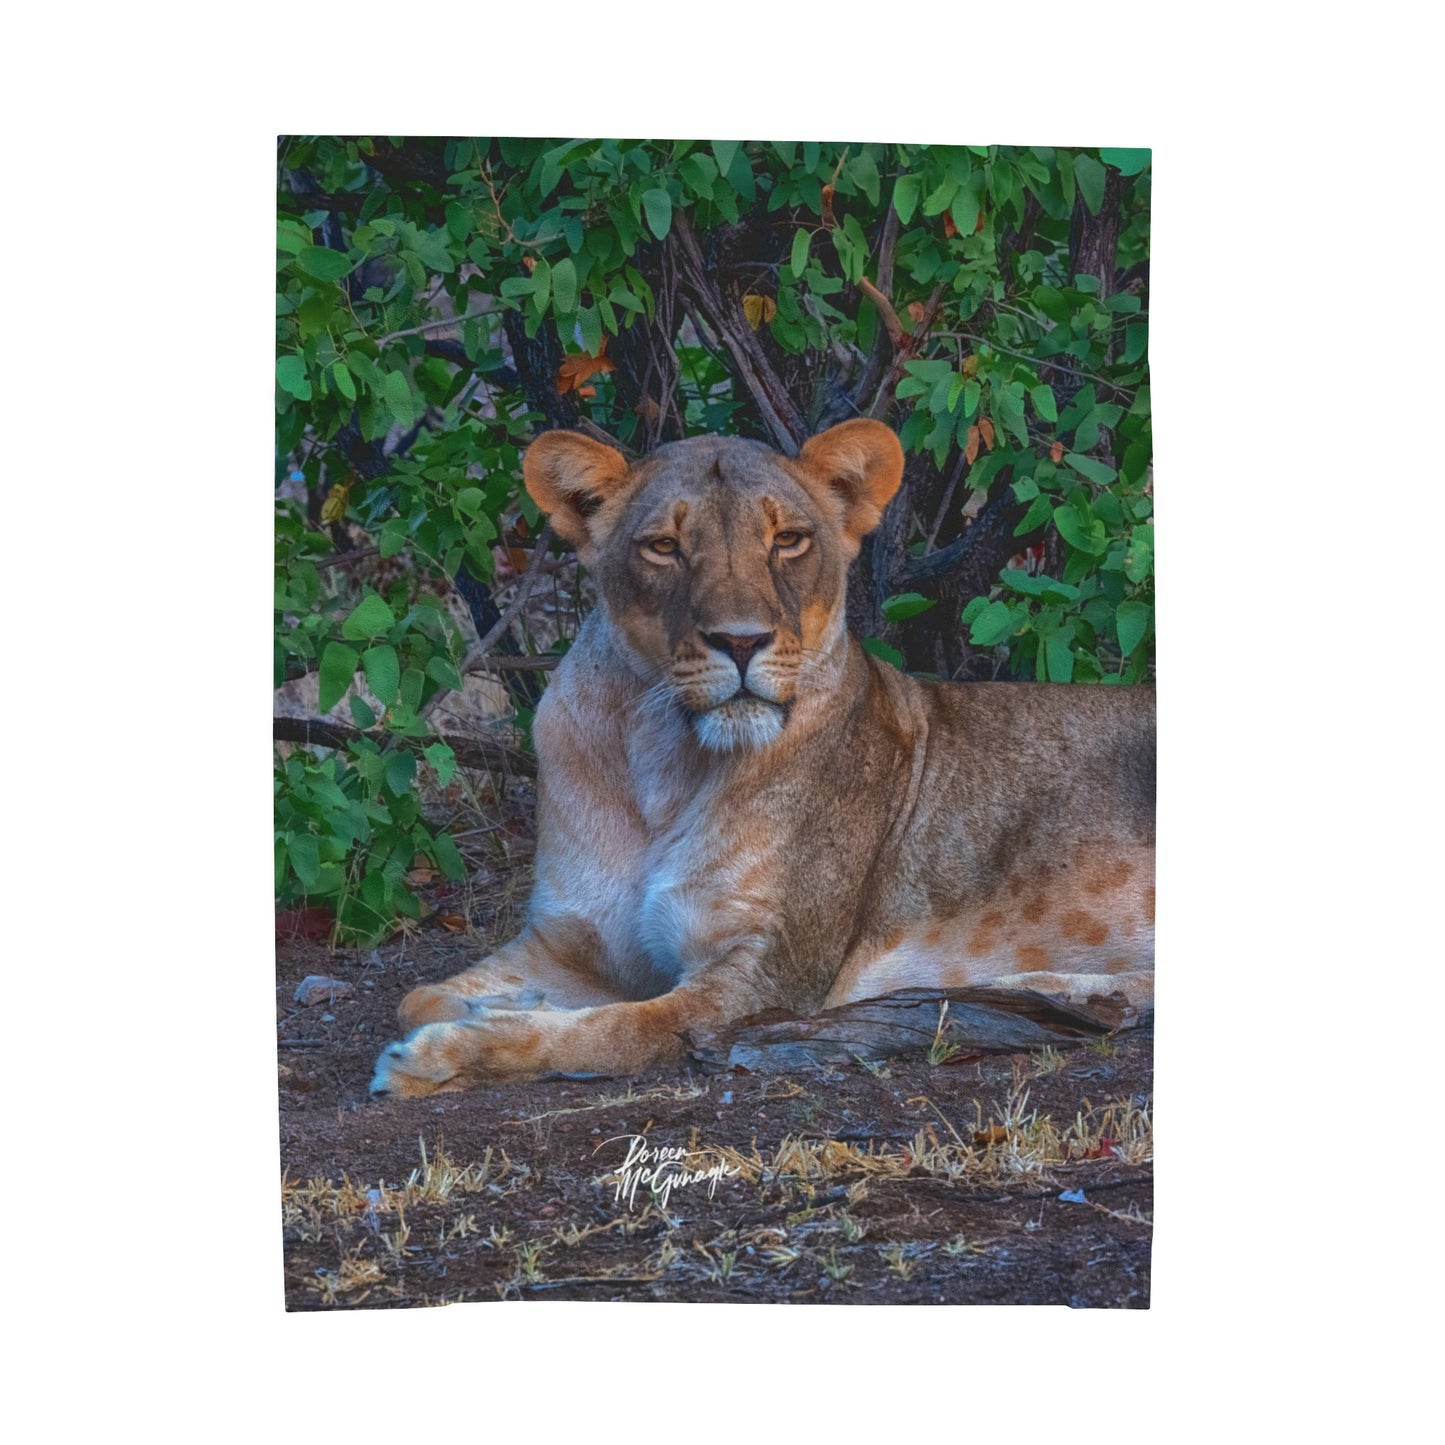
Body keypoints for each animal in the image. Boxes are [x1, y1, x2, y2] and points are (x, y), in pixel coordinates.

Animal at [370, 419, 1155, 1096]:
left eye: (790, 540)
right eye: (664, 546)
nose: (741, 640)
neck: (663, 760)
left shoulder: (763, 977)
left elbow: (614, 1031)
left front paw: (444, 1057)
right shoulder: (569, 941)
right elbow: (418, 996)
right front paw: (487, 1011)